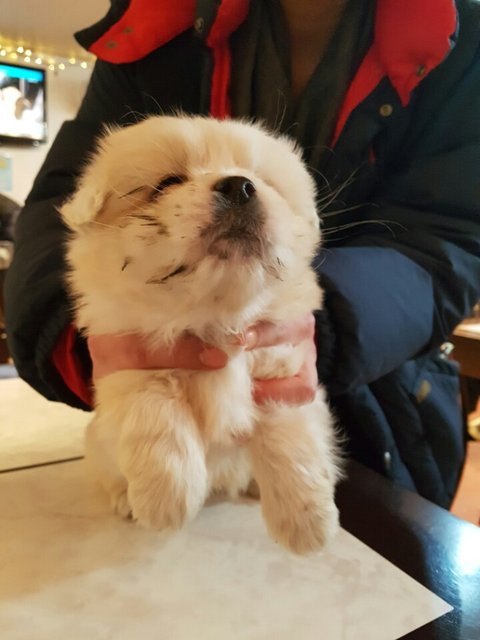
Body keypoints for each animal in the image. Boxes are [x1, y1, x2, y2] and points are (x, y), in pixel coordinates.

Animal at [61, 115, 340, 554]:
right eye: (168, 182)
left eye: (263, 181)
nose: (239, 185)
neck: (213, 321)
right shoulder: (129, 358)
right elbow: (157, 414)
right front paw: (165, 501)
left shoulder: (285, 373)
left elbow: (291, 438)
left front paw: (307, 523)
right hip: (98, 447)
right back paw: (126, 500)